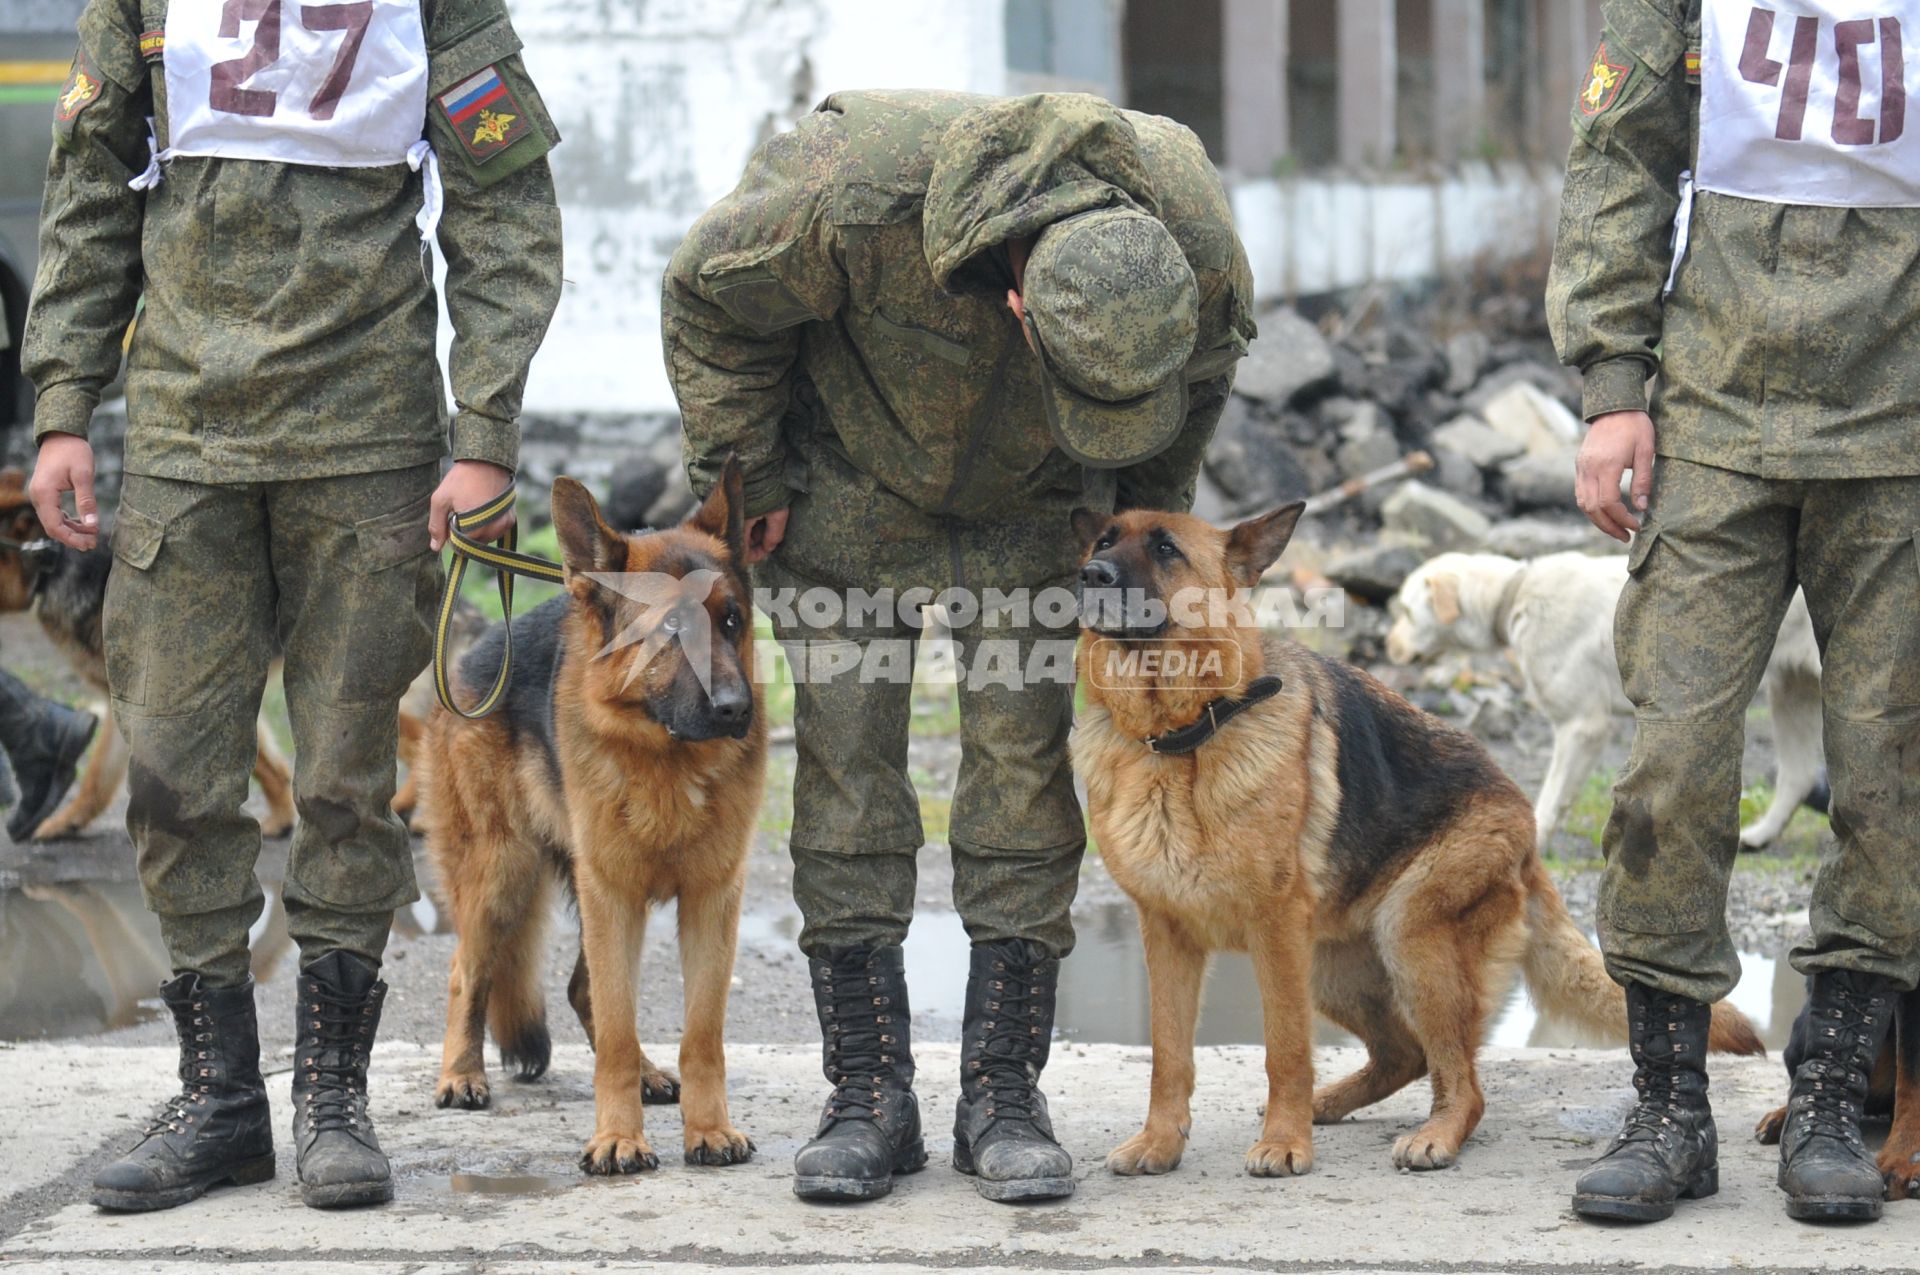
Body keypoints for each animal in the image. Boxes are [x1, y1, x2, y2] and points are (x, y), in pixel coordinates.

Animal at [426, 458, 764, 1175]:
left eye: (731, 621)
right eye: (671, 630)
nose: (735, 710)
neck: (665, 760)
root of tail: (477, 651)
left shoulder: (711, 900)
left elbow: (702, 1033)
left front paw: (708, 1128)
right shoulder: (613, 896)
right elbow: (614, 1029)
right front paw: (618, 1137)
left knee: (584, 991)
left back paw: (648, 1074)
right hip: (500, 878)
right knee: (468, 971)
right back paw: (462, 1074)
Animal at [1075, 503, 1758, 1182]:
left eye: (1166, 548)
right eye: (1104, 540)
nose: (1089, 575)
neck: (1179, 741)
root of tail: (1526, 828)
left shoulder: (1274, 932)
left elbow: (1286, 1049)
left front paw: (1286, 1144)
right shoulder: (1166, 935)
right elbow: (1168, 1052)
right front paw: (1161, 1142)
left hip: (1407, 938)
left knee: (1459, 1078)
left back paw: (1434, 1134)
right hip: (1332, 966)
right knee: (1405, 1054)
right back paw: (1331, 1104)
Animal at [1390, 553, 1820, 852]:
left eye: (1407, 611)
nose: (1387, 646)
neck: (1515, 592)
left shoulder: (1582, 726)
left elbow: (1550, 796)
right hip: (1791, 691)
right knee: (1798, 775)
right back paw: (1761, 835)